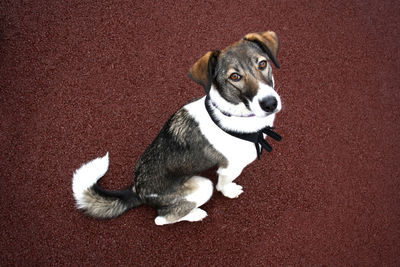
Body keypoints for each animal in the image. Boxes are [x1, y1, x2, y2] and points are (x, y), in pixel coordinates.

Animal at [73, 30, 282, 225]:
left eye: (262, 64)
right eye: (235, 76)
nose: (270, 103)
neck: (233, 113)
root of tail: (137, 190)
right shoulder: (229, 168)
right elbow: (223, 185)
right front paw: (230, 191)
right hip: (202, 186)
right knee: (162, 218)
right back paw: (196, 214)